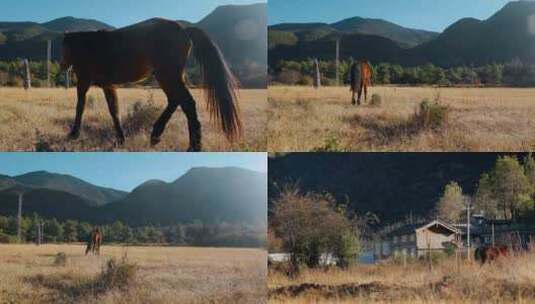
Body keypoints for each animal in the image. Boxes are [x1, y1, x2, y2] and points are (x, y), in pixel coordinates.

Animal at [60, 17, 241, 151]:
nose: (62, 65)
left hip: (167, 76)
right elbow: (114, 110)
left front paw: (73, 133)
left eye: (64, 47)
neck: (90, 46)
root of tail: (184, 30)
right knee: (175, 101)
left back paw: (193, 146)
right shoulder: (108, 85)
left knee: (186, 103)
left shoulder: (84, 82)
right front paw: (120, 138)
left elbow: (80, 106)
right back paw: (156, 135)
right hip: (168, 77)